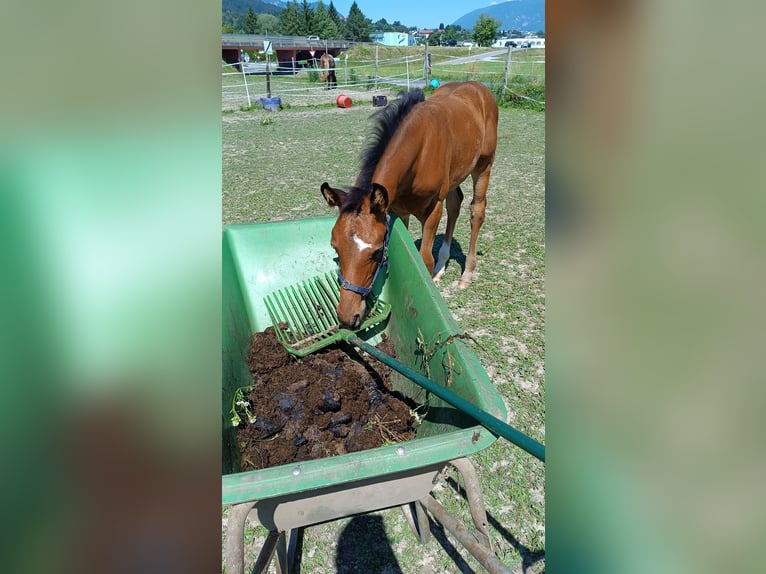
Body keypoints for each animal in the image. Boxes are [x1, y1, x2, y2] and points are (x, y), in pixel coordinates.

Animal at [321, 81, 498, 329]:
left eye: (376, 253)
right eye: (335, 247)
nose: (348, 317)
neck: (419, 150)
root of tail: (479, 87)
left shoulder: (433, 209)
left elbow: (424, 259)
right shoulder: (398, 211)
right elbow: (408, 255)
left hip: (484, 165)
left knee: (477, 210)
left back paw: (467, 275)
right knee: (455, 204)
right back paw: (441, 268)